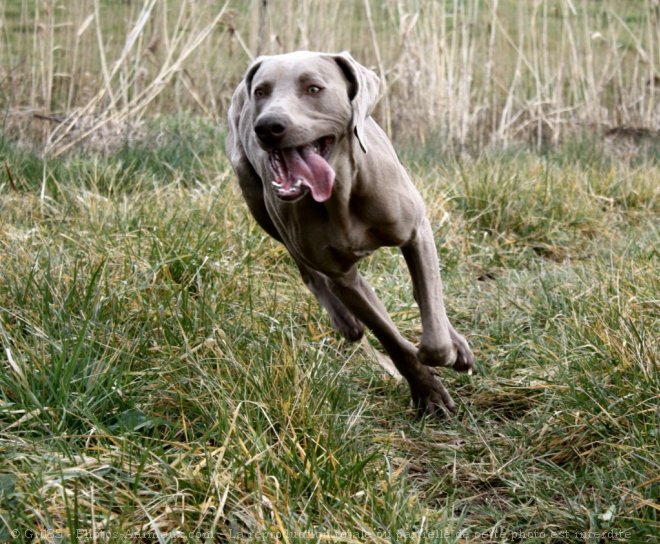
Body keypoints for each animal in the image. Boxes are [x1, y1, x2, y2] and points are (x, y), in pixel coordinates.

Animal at [227, 52, 474, 416]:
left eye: (314, 88)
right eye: (260, 92)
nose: (268, 126)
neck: (341, 192)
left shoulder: (417, 232)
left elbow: (433, 331)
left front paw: (446, 352)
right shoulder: (344, 277)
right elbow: (391, 338)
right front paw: (428, 392)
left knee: (428, 294)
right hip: (259, 204)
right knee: (309, 272)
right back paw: (347, 322)